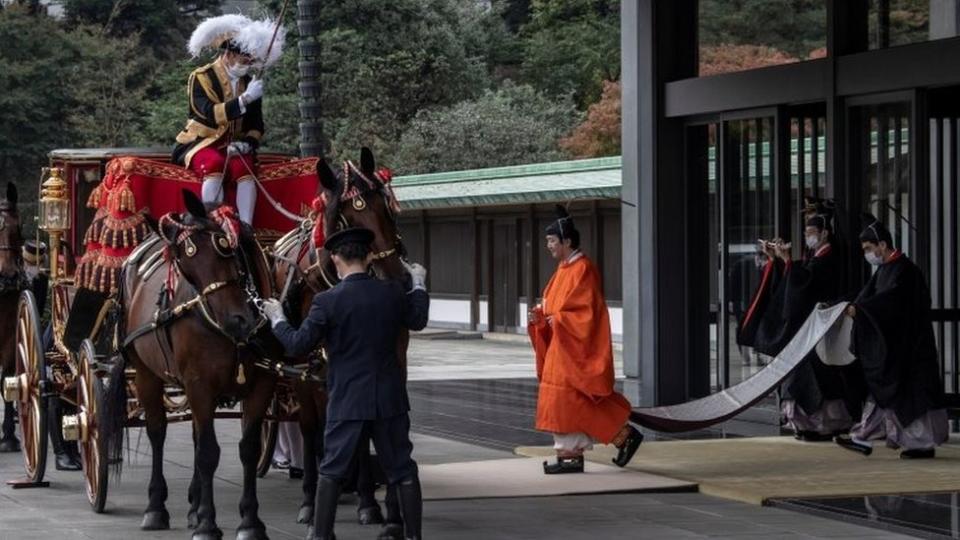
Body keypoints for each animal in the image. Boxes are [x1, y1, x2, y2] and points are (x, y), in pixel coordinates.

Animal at [105, 192, 278, 536]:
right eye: (185, 267)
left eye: (224, 245)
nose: (237, 321)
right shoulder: (200, 383)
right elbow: (209, 453)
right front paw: (208, 523)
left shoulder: (262, 385)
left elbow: (247, 449)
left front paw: (249, 520)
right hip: (146, 373)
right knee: (157, 432)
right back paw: (156, 508)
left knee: (197, 436)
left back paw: (193, 506)